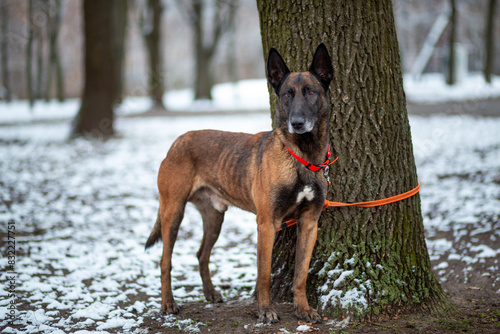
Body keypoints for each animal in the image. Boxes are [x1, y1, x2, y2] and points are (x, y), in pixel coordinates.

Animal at [145, 43, 332, 322]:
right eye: (286, 95)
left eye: (311, 92)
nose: (297, 123)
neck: (301, 155)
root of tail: (177, 141)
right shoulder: (266, 224)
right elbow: (264, 275)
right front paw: (265, 310)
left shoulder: (309, 223)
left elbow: (301, 274)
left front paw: (303, 309)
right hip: (173, 212)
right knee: (164, 261)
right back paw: (168, 303)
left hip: (214, 218)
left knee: (201, 254)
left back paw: (210, 293)